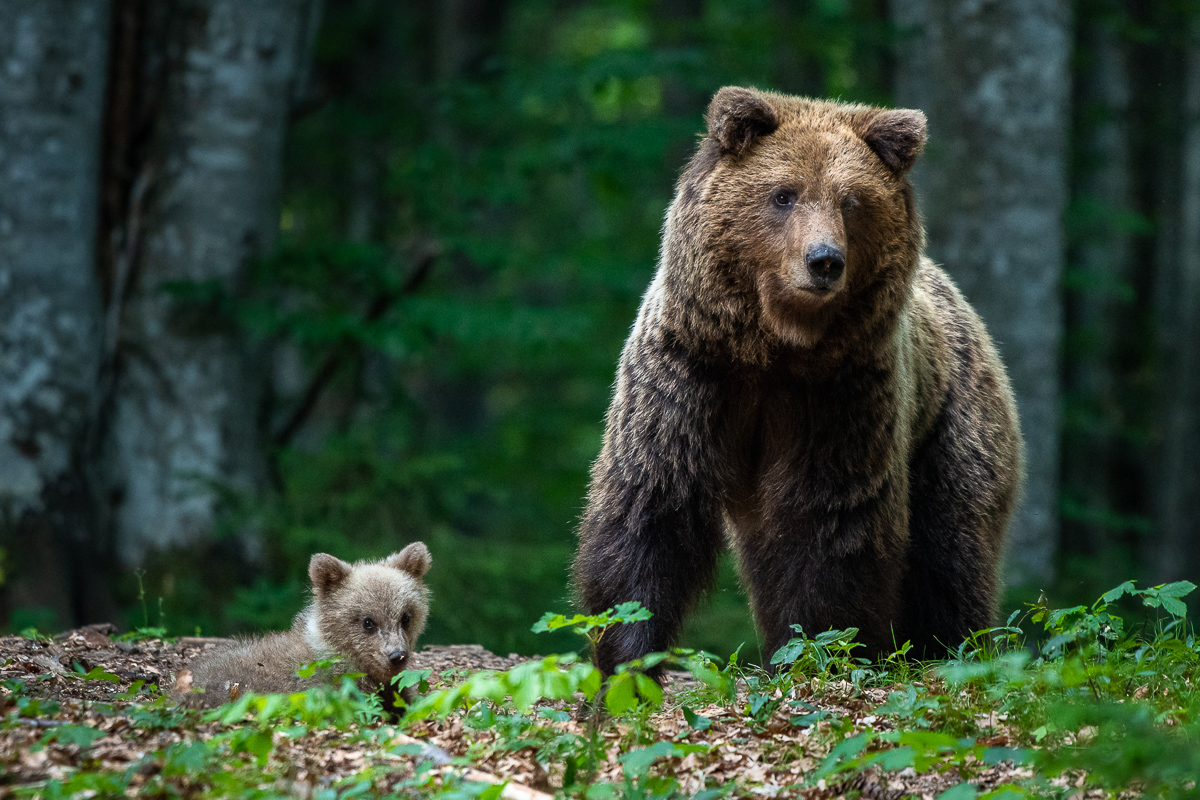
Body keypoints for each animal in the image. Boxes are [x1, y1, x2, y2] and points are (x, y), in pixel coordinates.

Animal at [571, 86, 1022, 676]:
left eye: (851, 200)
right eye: (783, 195)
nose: (824, 260)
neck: (774, 348)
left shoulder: (840, 397)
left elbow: (827, 522)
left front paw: (816, 649)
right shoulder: (691, 375)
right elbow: (653, 504)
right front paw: (629, 654)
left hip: (951, 423)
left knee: (951, 548)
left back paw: (951, 648)